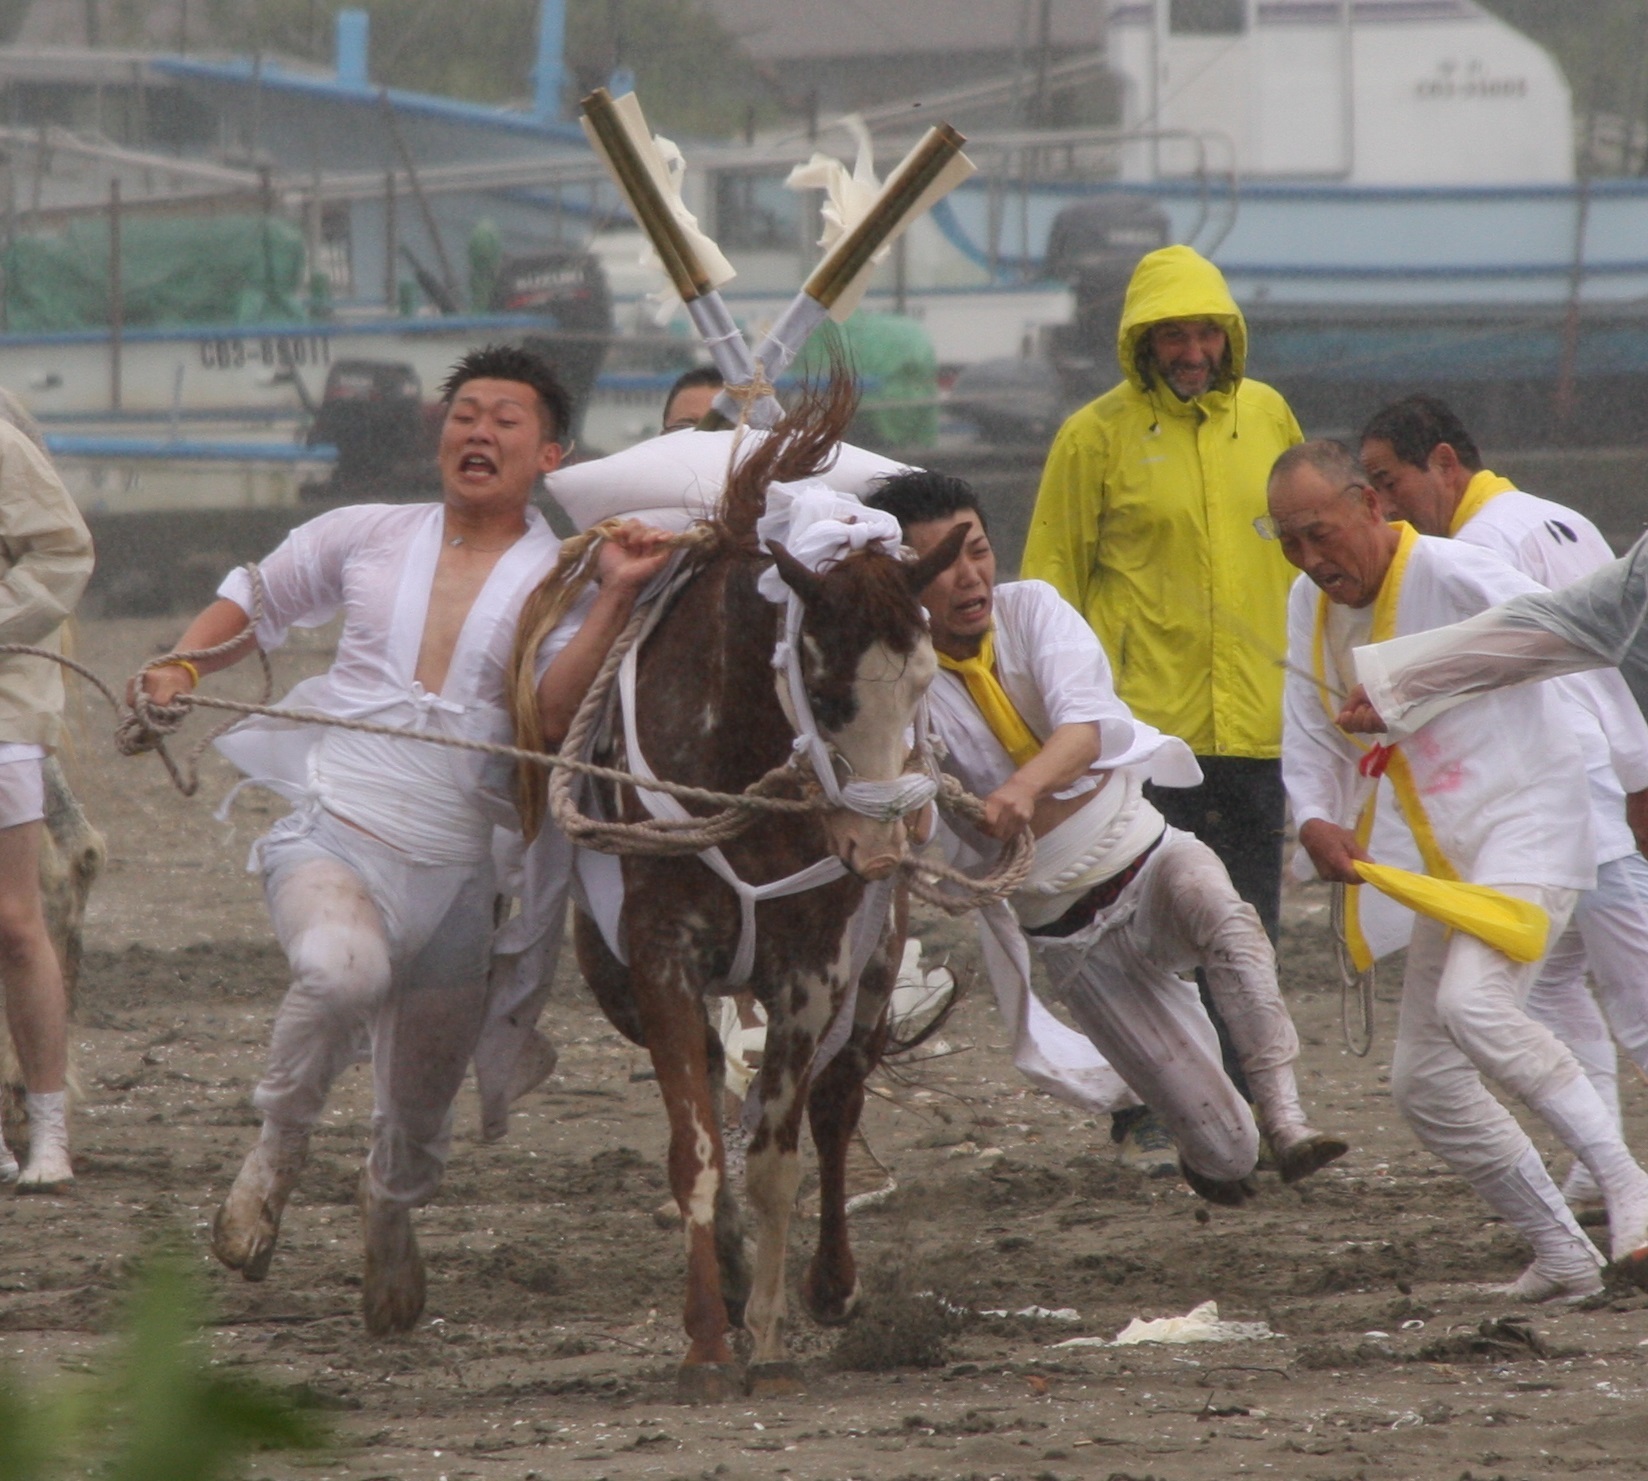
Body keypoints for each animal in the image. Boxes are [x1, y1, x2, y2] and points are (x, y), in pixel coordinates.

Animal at [566, 385, 962, 1403]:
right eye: (822, 693)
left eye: (926, 680)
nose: (879, 844)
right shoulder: (659, 961)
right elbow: (698, 1152)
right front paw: (709, 1337)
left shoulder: (812, 971)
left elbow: (781, 1156)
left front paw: (776, 1332)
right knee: (712, 1081)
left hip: (871, 978)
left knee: (837, 1106)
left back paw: (827, 1284)